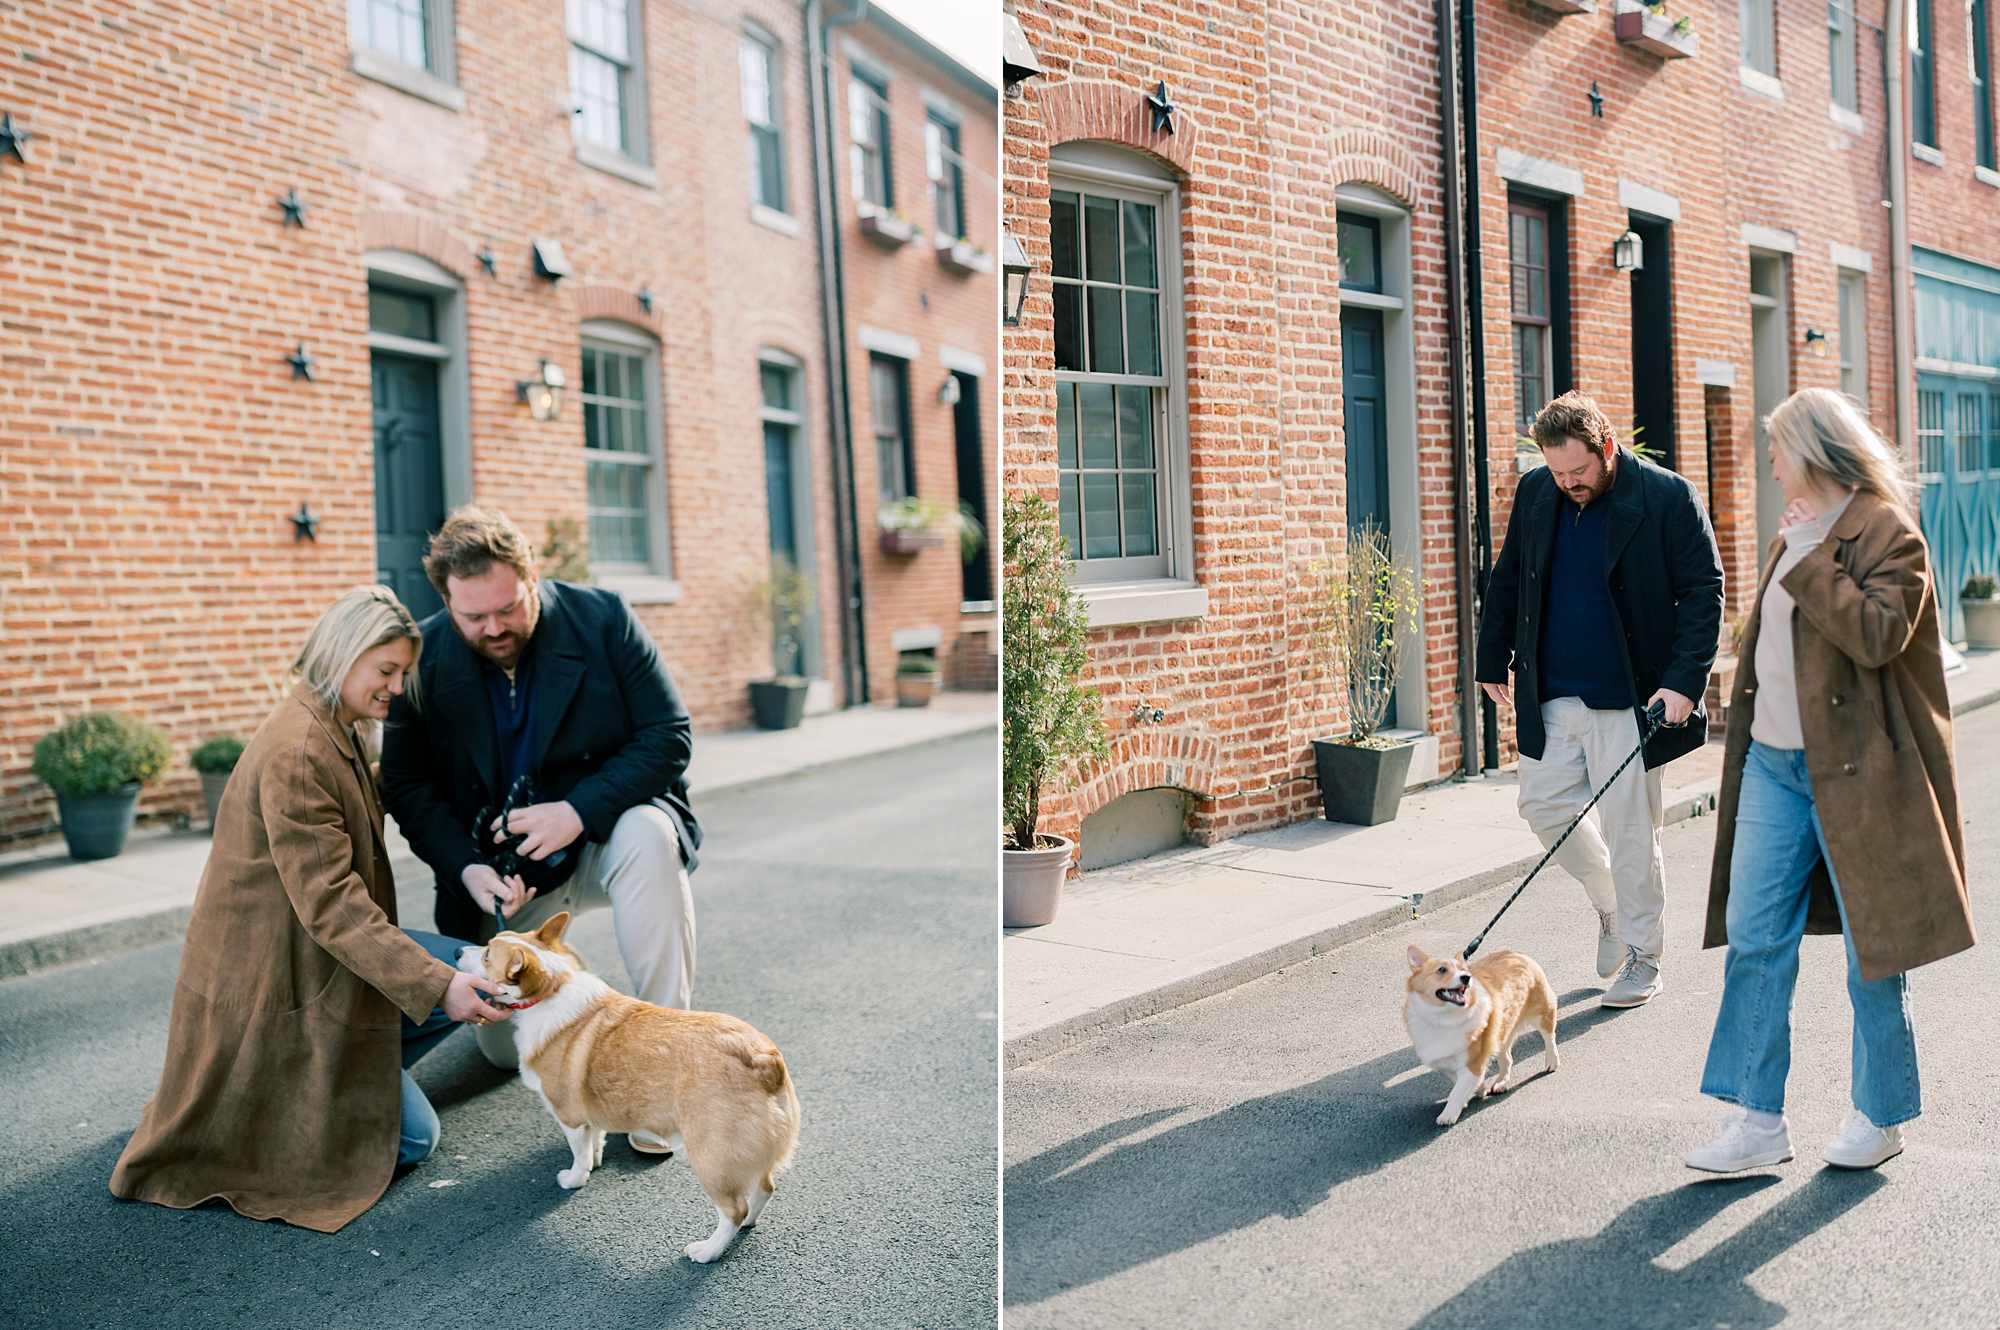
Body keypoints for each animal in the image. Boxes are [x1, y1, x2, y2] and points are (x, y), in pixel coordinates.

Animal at [460, 908, 804, 1264]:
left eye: (487, 955)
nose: (456, 951)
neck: (552, 986)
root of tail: (763, 1059)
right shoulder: (589, 1114)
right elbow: (594, 1141)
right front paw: (596, 1160)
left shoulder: (569, 1117)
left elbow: (578, 1154)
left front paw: (575, 1179)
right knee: (763, 1189)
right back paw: (748, 1224)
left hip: (711, 1157)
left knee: (734, 1208)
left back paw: (708, 1250)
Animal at [1400, 944, 1552, 1120]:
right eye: (1441, 970)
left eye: (1463, 969)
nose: (1467, 977)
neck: (1441, 1019)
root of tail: (1517, 954)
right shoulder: (1448, 1064)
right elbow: (1461, 1083)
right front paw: (1479, 1089)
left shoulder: (1473, 1062)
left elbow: (1456, 1092)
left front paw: (1448, 1115)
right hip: (1500, 1034)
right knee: (1507, 1058)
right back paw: (1501, 1082)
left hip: (1541, 1013)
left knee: (1549, 1036)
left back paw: (1552, 1062)